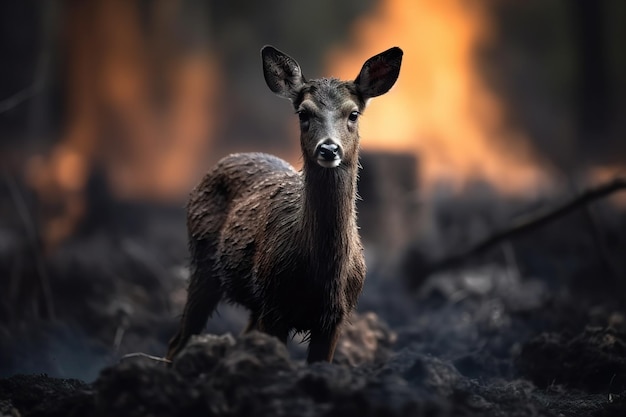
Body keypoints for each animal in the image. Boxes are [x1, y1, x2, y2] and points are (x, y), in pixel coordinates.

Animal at [163, 44, 402, 360]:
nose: (329, 148)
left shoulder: (335, 318)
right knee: (177, 340)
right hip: (203, 264)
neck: (321, 275)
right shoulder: (275, 306)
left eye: (353, 114)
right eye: (303, 113)